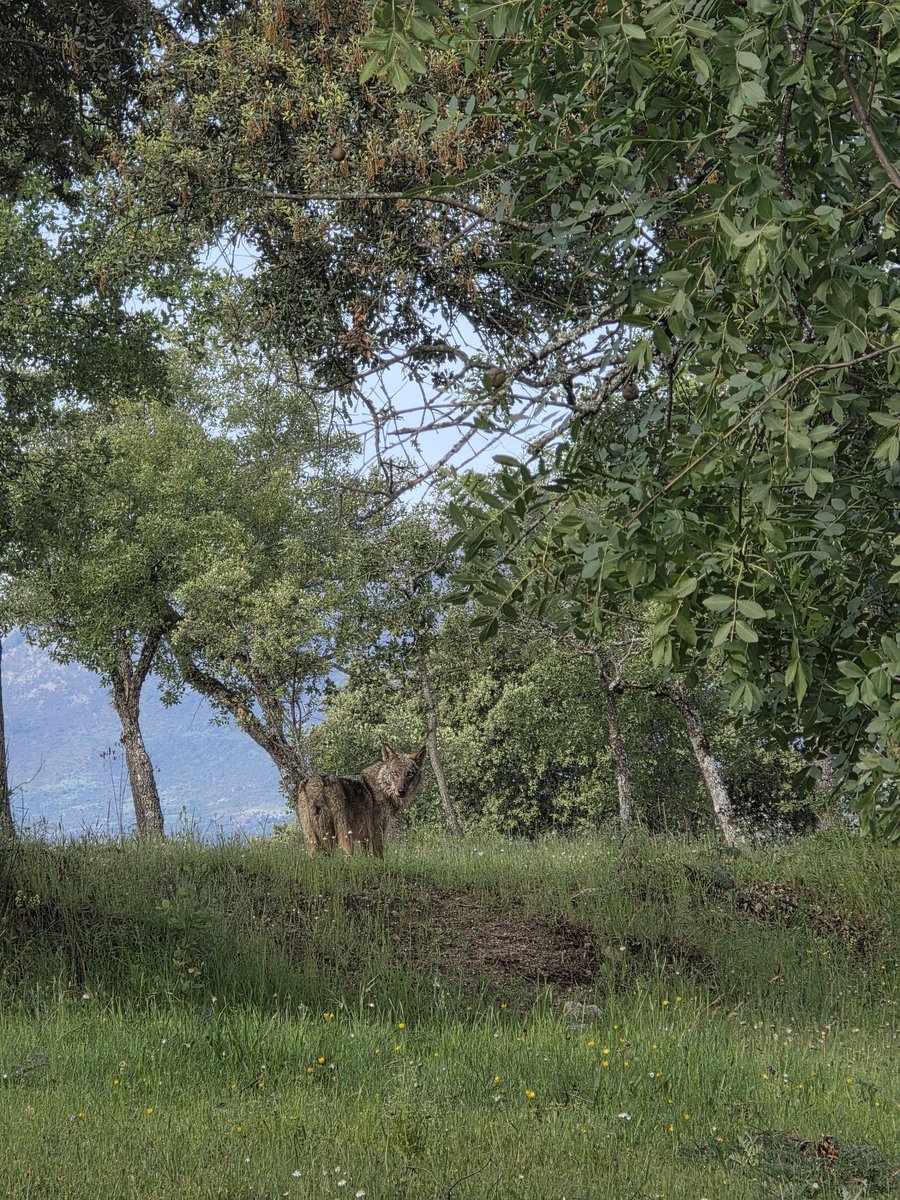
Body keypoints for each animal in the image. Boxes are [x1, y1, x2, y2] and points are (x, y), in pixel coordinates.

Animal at [295, 744, 427, 858]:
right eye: (395, 774)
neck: (381, 787)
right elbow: (379, 856)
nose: (401, 791)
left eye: (409, 774)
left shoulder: (364, 837)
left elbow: (365, 857)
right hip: (344, 836)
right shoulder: (377, 832)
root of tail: (315, 782)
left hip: (311, 840)